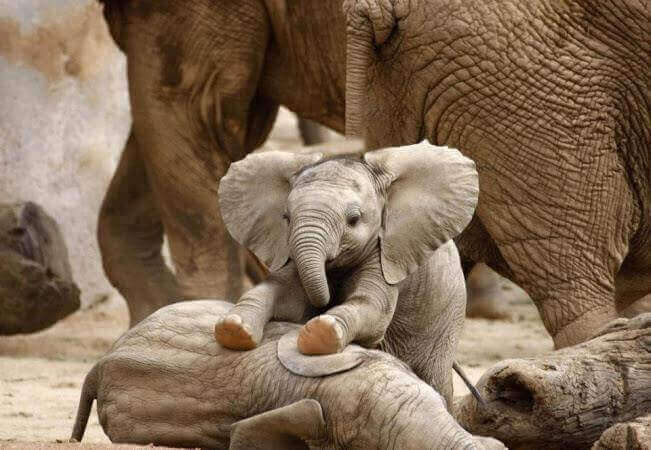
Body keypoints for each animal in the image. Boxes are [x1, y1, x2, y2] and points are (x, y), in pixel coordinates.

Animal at [214, 142, 478, 403]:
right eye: (286, 218)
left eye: (354, 219)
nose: (325, 304)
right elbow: (282, 293)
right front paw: (233, 328)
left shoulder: (385, 254)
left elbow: (372, 307)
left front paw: (321, 332)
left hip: (446, 318)